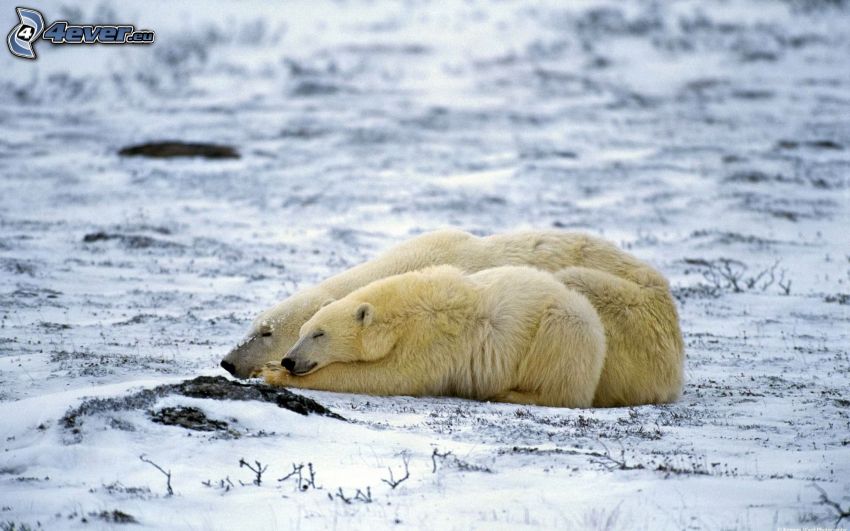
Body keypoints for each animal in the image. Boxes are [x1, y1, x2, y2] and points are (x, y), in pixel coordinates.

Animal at [262, 266, 608, 408]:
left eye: (319, 334)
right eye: (301, 331)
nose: (289, 359)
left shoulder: (432, 339)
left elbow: (392, 376)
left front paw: (273, 372)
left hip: (564, 329)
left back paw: (509, 394)